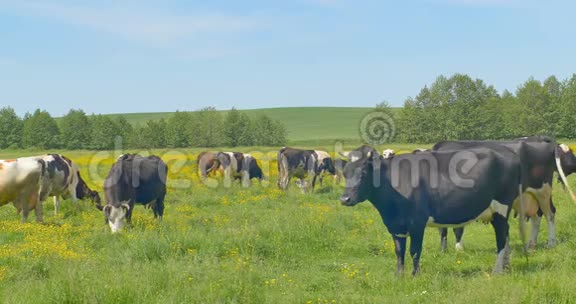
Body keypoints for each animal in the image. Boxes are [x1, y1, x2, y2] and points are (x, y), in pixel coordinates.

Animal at [342, 145, 528, 276]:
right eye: (345, 173)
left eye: (364, 173)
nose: (345, 199)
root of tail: (509, 152)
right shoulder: (395, 225)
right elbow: (399, 251)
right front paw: (399, 275)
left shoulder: (417, 222)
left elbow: (414, 250)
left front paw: (415, 275)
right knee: (506, 234)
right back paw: (506, 266)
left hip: (501, 206)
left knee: (501, 236)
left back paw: (497, 271)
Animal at [432, 137, 572, 252]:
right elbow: (443, 229)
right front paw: (444, 250)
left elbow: (457, 228)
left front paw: (458, 248)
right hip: (530, 195)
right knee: (536, 216)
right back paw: (531, 244)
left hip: (543, 191)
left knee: (550, 214)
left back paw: (551, 243)